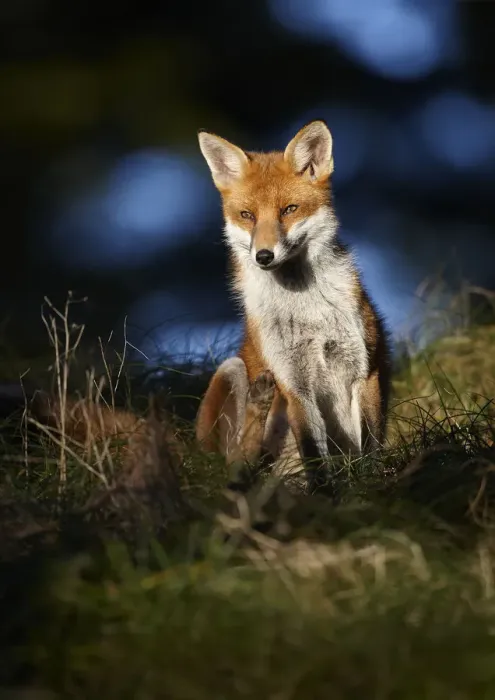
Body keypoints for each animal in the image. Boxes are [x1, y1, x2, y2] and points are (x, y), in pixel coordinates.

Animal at [195, 119, 392, 492]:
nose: (263, 256)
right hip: (230, 371)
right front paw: (326, 495)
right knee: (234, 465)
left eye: (289, 210)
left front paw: (375, 484)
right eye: (247, 215)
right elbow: (313, 451)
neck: (307, 308)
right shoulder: (293, 383)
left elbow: (371, 443)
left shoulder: (364, 368)